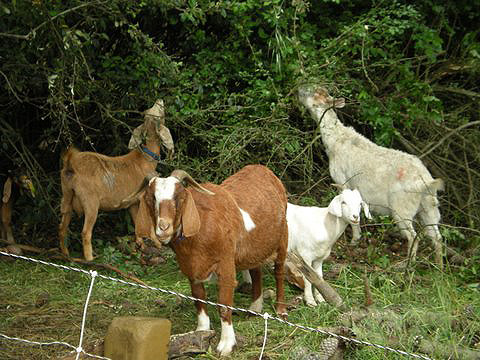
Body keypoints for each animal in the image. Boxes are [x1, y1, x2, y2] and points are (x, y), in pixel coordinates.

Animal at [58, 100, 174, 260]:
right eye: (158, 115)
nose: (159, 101)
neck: (145, 159)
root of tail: (71, 162)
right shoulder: (144, 198)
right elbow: (148, 223)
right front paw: (157, 244)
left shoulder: (132, 203)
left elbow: (136, 222)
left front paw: (141, 246)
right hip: (90, 202)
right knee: (86, 232)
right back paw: (90, 260)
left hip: (67, 195)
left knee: (62, 228)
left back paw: (66, 255)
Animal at [133, 165, 286, 356]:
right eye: (151, 198)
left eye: (180, 197)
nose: (163, 227)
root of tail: (262, 169)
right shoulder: (191, 268)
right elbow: (199, 299)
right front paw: (202, 332)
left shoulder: (226, 265)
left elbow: (224, 305)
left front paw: (226, 345)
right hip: (255, 246)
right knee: (256, 270)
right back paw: (255, 308)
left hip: (283, 236)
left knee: (279, 271)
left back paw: (281, 310)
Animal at [298, 86, 444, 268]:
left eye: (315, 95)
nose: (299, 91)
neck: (336, 140)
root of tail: (426, 180)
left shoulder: (342, 181)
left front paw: (354, 240)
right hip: (429, 207)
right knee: (437, 237)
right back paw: (439, 268)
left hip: (402, 208)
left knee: (413, 236)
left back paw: (407, 266)